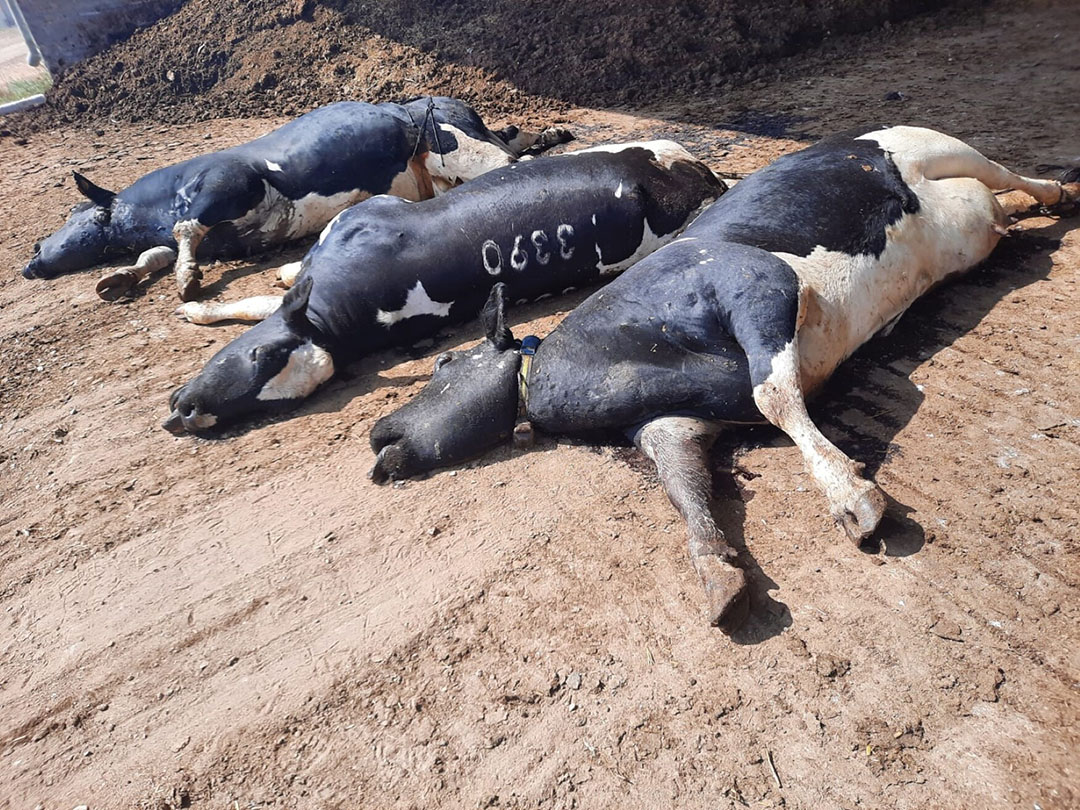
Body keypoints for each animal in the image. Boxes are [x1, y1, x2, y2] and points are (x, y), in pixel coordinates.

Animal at [159, 139, 725, 434]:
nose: (189, 413)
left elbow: (263, 296)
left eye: (264, 357)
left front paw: (194, 307)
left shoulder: (364, 215)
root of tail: (708, 179)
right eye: (269, 406)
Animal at [365, 128, 1080, 635]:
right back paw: (1023, 217)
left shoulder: (752, 281)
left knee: (1004, 169)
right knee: (994, 200)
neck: (620, 352)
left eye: (444, 366)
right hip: (957, 200)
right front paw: (717, 572)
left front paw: (853, 496)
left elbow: (773, 395)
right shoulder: (668, 424)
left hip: (927, 143)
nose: (375, 432)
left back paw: (1060, 191)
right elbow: (686, 486)